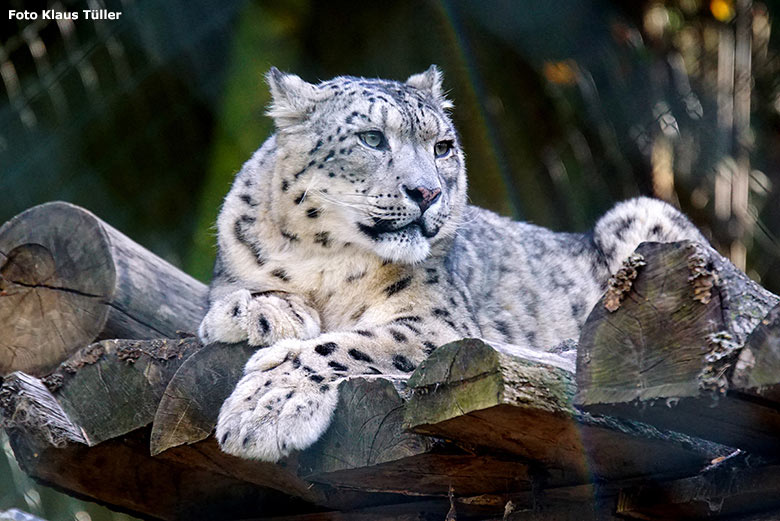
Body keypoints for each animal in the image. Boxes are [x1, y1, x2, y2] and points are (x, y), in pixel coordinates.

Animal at [197, 65, 708, 460]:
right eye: (371, 138)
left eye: (442, 146)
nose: (427, 192)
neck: (327, 260)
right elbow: (243, 289)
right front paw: (258, 312)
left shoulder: (439, 325)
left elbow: (349, 345)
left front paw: (266, 406)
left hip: (648, 219)